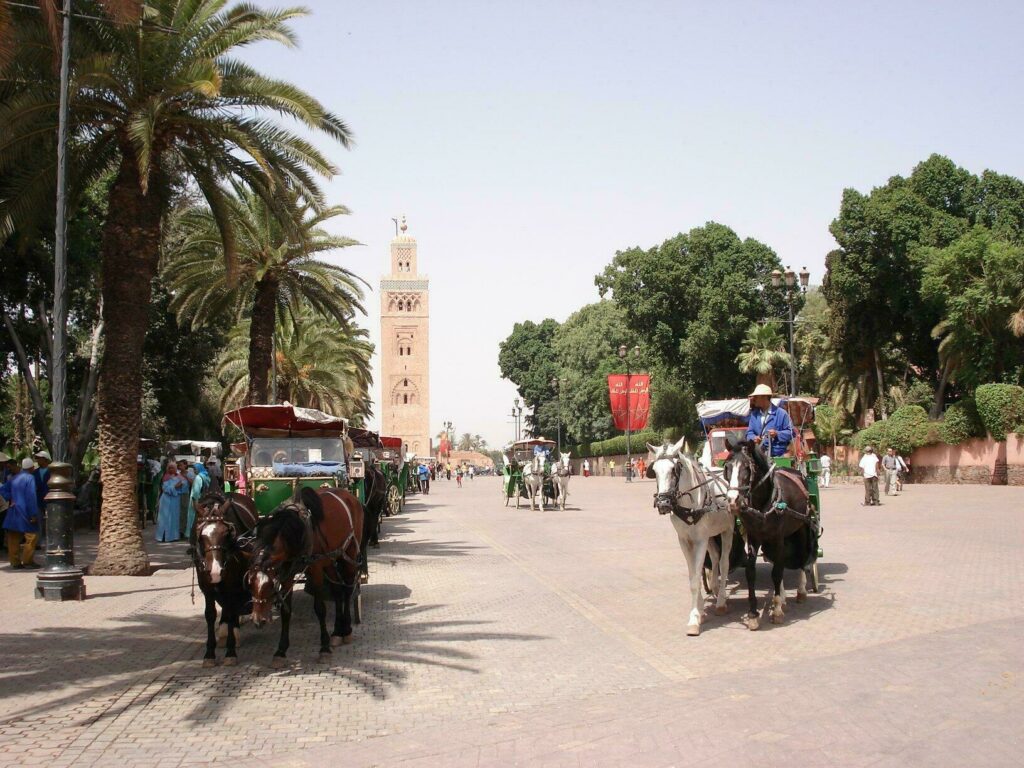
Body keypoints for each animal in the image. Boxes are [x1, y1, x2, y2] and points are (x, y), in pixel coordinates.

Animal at [192, 493, 258, 667]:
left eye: (227, 534)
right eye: (201, 536)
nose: (216, 570)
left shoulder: (232, 583)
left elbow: (231, 610)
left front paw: (231, 652)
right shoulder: (206, 585)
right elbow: (210, 614)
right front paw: (209, 654)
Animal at [244, 489, 364, 671]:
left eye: (270, 586)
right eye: (250, 584)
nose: (258, 621)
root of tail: (350, 495)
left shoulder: (315, 569)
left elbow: (320, 608)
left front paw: (324, 648)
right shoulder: (287, 573)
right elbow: (286, 612)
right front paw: (280, 651)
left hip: (348, 553)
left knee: (348, 589)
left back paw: (347, 629)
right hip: (330, 558)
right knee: (337, 591)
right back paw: (337, 632)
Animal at [647, 438, 737, 638]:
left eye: (674, 469)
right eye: (654, 470)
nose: (663, 503)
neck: (689, 504)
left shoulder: (700, 541)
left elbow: (696, 578)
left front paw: (694, 618)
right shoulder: (684, 541)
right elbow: (692, 576)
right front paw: (700, 610)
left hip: (728, 530)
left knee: (724, 562)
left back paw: (720, 601)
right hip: (711, 534)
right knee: (715, 557)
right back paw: (714, 586)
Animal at [724, 438, 819, 630]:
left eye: (747, 468)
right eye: (727, 468)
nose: (732, 501)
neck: (763, 505)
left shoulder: (777, 538)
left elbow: (776, 573)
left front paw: (776, 611)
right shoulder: (754, 538)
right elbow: (751, 572)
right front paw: (753, 613)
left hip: (801, 527)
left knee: (802, 558)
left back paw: (801, 591)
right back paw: (782, 597)